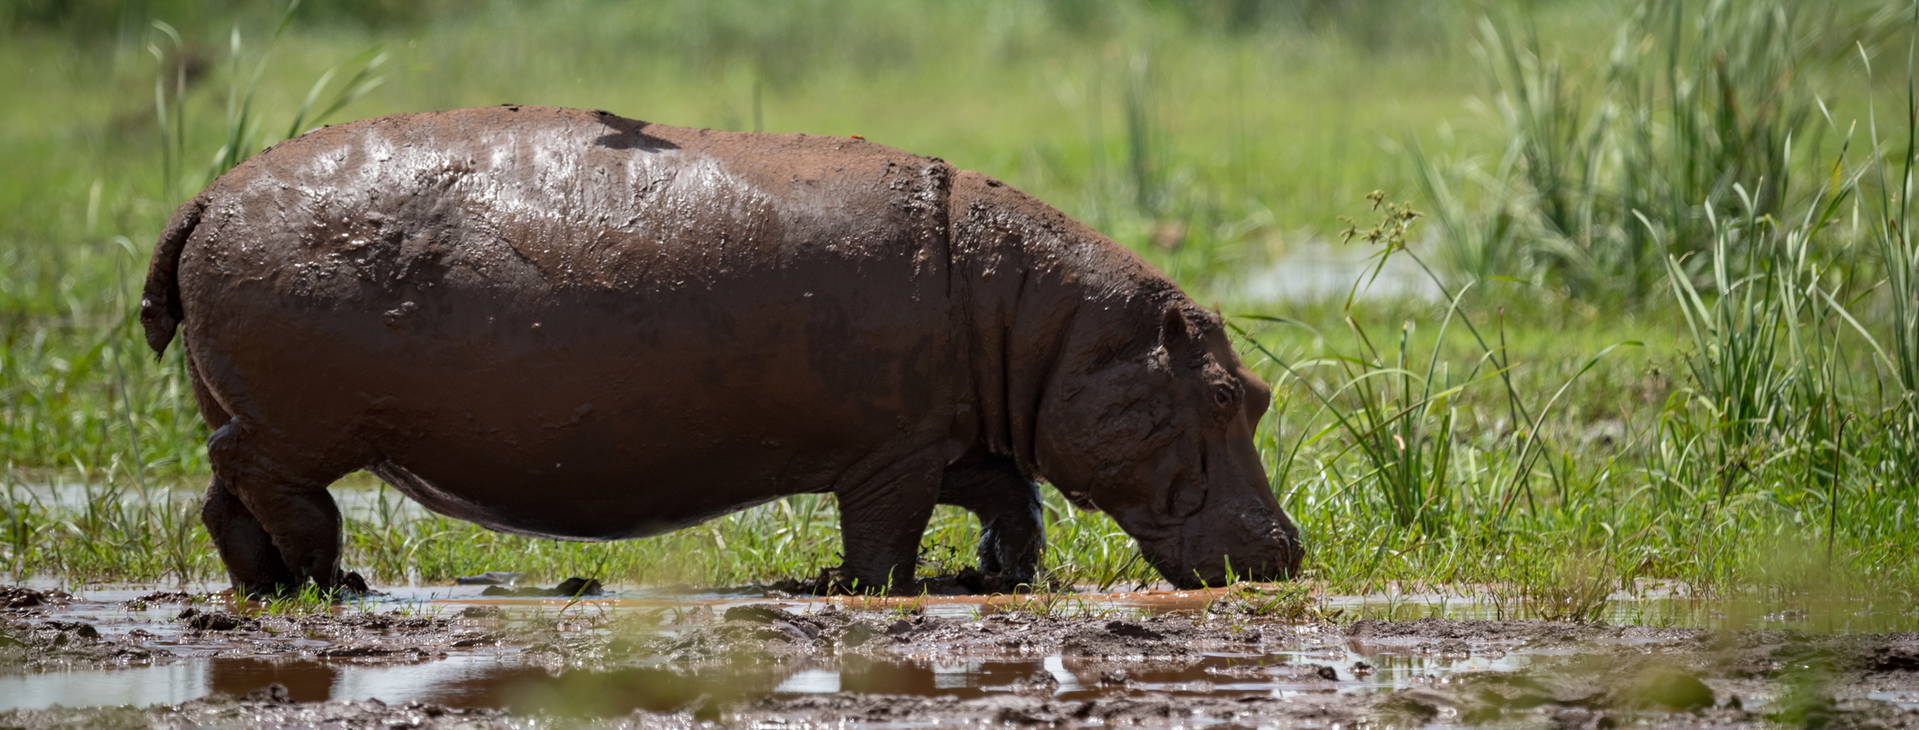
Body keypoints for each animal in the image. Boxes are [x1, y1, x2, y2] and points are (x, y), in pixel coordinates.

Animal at [140, 106, 1303, 595]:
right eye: (1221, 393)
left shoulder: (951, 428)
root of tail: (203, 199)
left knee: (222, 498)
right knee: (258, 477)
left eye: (1255, 391)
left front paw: (997, 575)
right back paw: (335, 577)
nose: (1287, 548)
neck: (1044, 321)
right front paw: (854, 588)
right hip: (299, 425)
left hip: (231, 399)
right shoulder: (894, 447)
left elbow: (1008, 496)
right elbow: (887, 530)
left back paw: (286, 588)